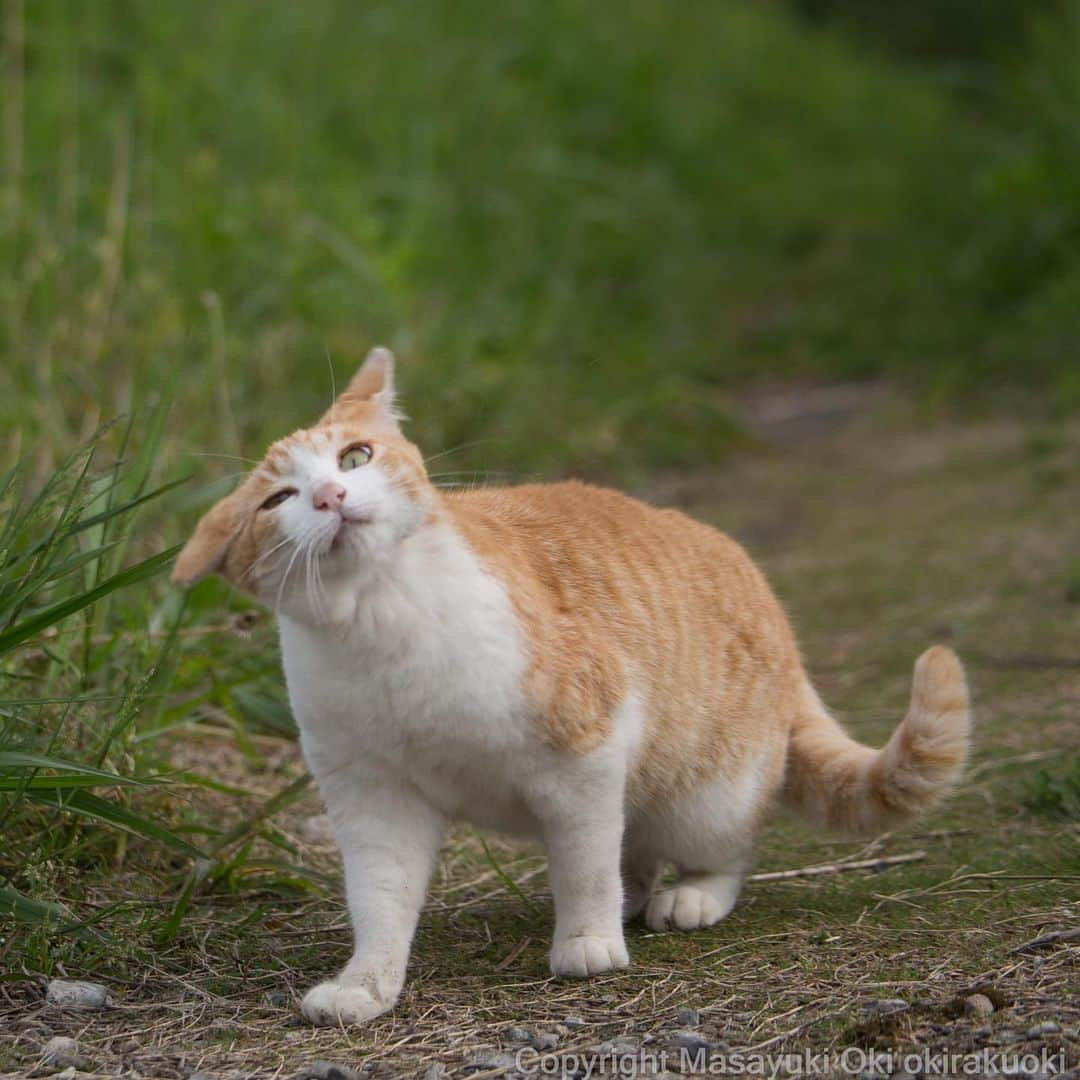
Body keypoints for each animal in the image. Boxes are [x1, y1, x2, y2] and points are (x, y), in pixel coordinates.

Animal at [174, 352, 972, 1028]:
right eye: (279, 499)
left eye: (355, 457)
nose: (333, 496)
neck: (383, 629)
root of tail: (774, 613)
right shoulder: (374, 800)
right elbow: (380, 900)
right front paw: (366, 984)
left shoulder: (583, 756)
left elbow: (584, 866)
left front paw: (586, 941)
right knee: (635, 851)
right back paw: (638, 894)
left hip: (703, 794)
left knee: (721, 850)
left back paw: (690, 895)